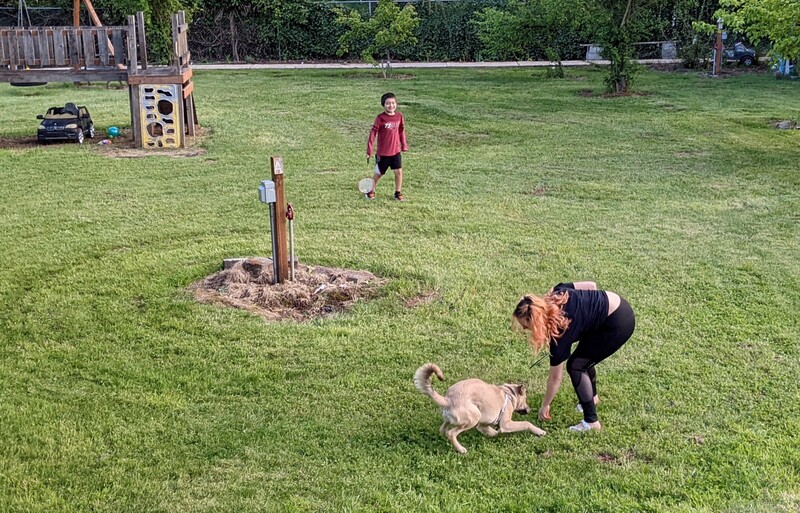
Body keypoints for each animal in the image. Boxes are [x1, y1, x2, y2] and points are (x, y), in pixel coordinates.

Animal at [416, 360, 548, 452]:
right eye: (525, 399)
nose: (529, 410)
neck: (509, 394)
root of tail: (448, 399)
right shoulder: (506, 423)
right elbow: (526, 423)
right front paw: (539, 431)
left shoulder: (483, 423)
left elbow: (487, 429)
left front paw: (494, 433)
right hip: (473, 417)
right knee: (451, 433)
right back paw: (460, 449)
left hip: (454, 418)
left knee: (443, 430)